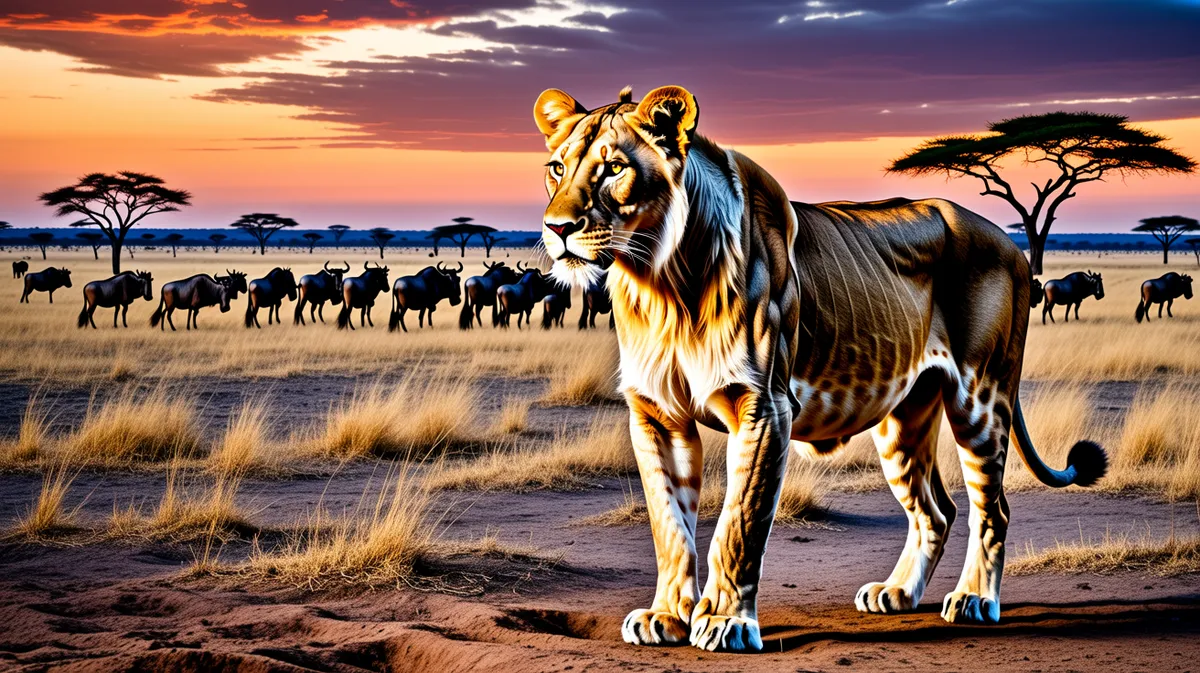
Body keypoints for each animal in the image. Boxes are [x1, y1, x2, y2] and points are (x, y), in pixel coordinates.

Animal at [533, 85, 1107, 653]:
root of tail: (1012, 244)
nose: (557, 227)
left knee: (993, 507)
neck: (660, 282)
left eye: (613, 168)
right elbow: (669, 524)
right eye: (557, 168)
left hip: (980, 398)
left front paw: (723, 622)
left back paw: (973, 600)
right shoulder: (656, 414)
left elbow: (738, 523)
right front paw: (667, 616)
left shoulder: (763, 407)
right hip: (903, 419)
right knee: (936, 509)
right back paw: (897, 592)